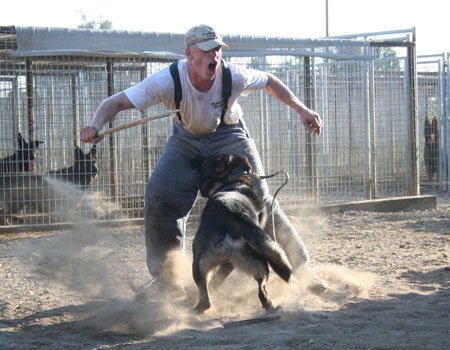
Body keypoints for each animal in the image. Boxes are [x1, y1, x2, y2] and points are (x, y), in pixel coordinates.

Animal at [191, 154, 292, 314]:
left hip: (199, 264)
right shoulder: (228, 265)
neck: (237, 177)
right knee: (262, 290)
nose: (194, 160)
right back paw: (271, 307)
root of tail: (234, 215)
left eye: (206, 163)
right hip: (258, 264)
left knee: (205, 295)